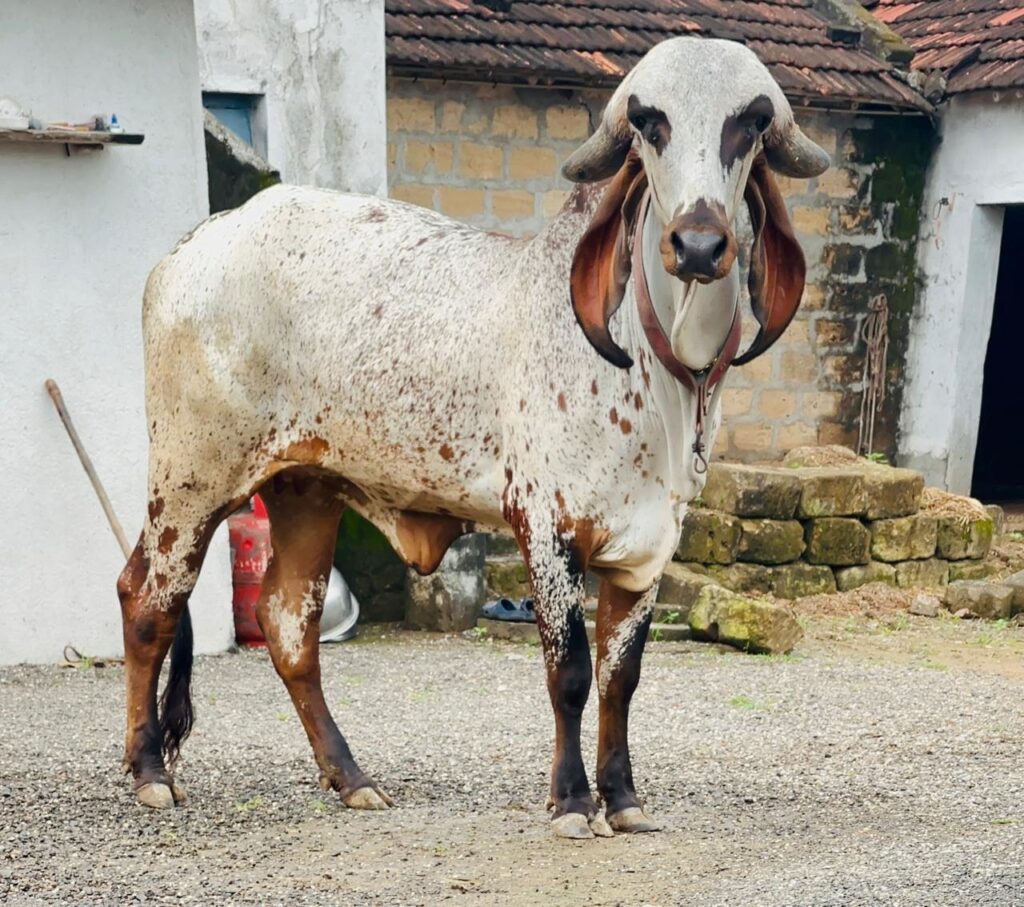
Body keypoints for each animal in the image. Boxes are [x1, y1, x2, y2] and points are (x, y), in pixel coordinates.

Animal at [117, 36, 828, 839]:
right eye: (650, 123)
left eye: (752, 124)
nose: (700, 243)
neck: (659, 372)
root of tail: (190, 247)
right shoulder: (547, 528)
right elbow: (570, 674)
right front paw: (572, 801)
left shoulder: (648, 546)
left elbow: (622, 678)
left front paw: (623, 798)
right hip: (189, 481)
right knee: (149, 604)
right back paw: (149, 772)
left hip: (308, 490)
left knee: (287, 627)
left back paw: (351, 777)